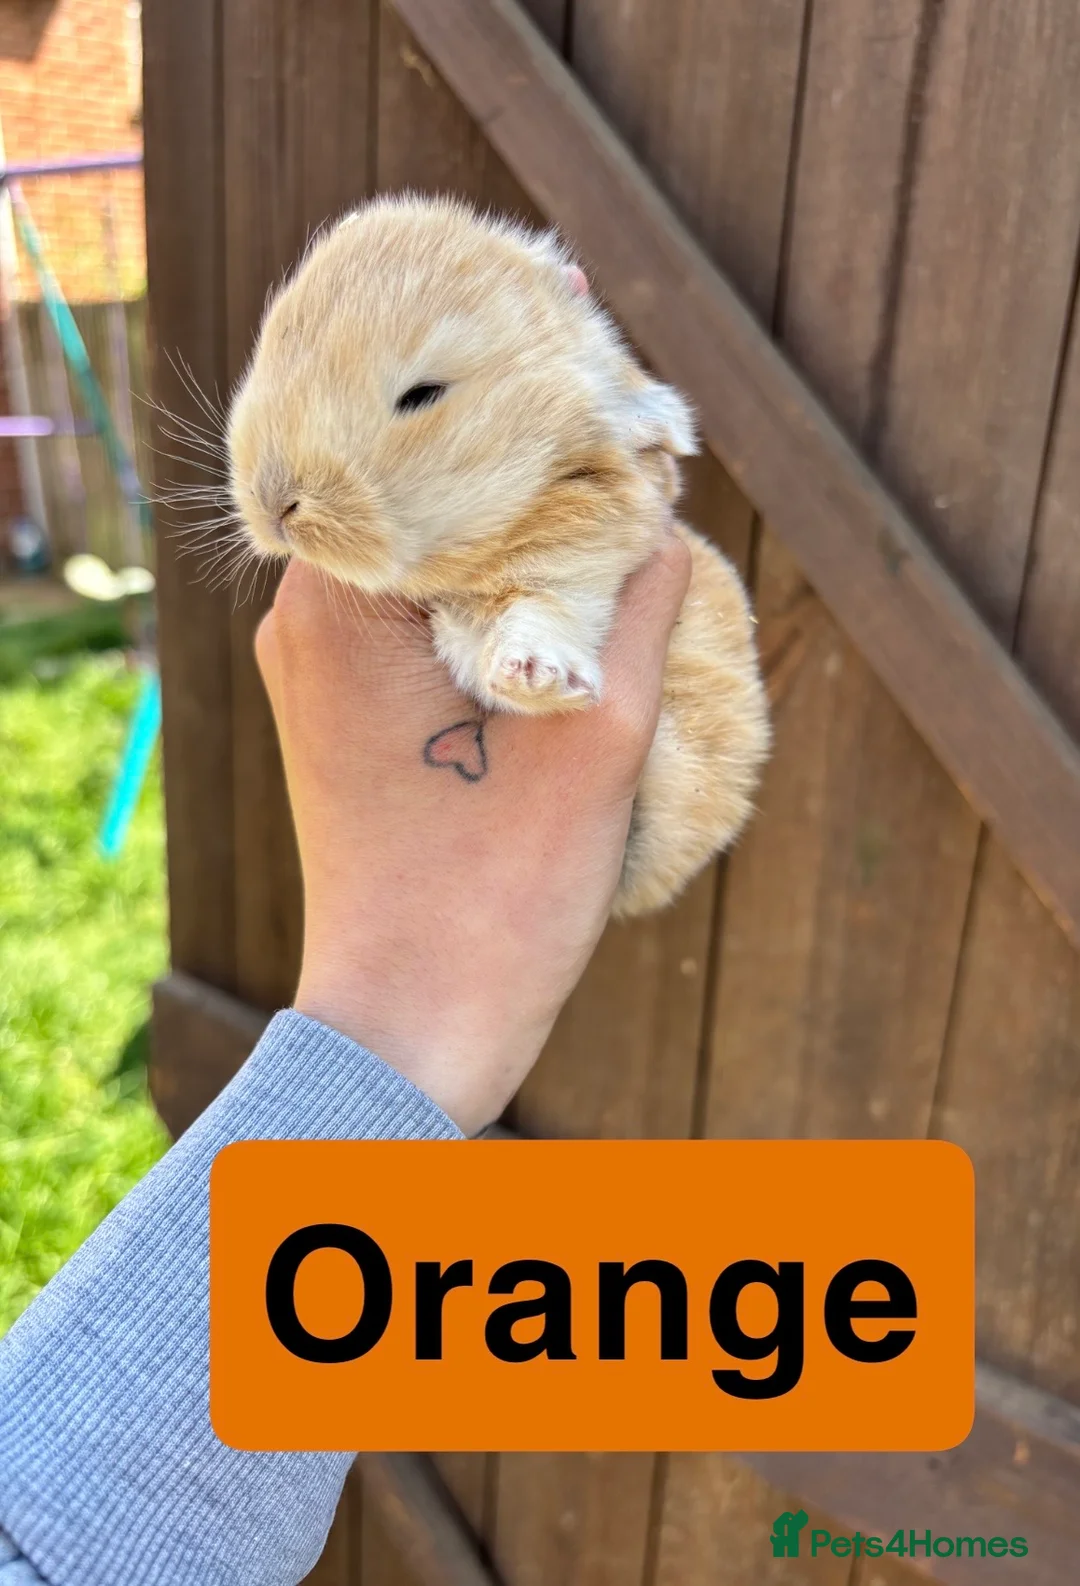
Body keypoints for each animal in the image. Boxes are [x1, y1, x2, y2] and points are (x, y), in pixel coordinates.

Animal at [226, 193, 770, 917]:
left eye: (423, 395)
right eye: (273, 347)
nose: (276, 503)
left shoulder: (588, 547)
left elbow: (546, 601)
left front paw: (534, 675)